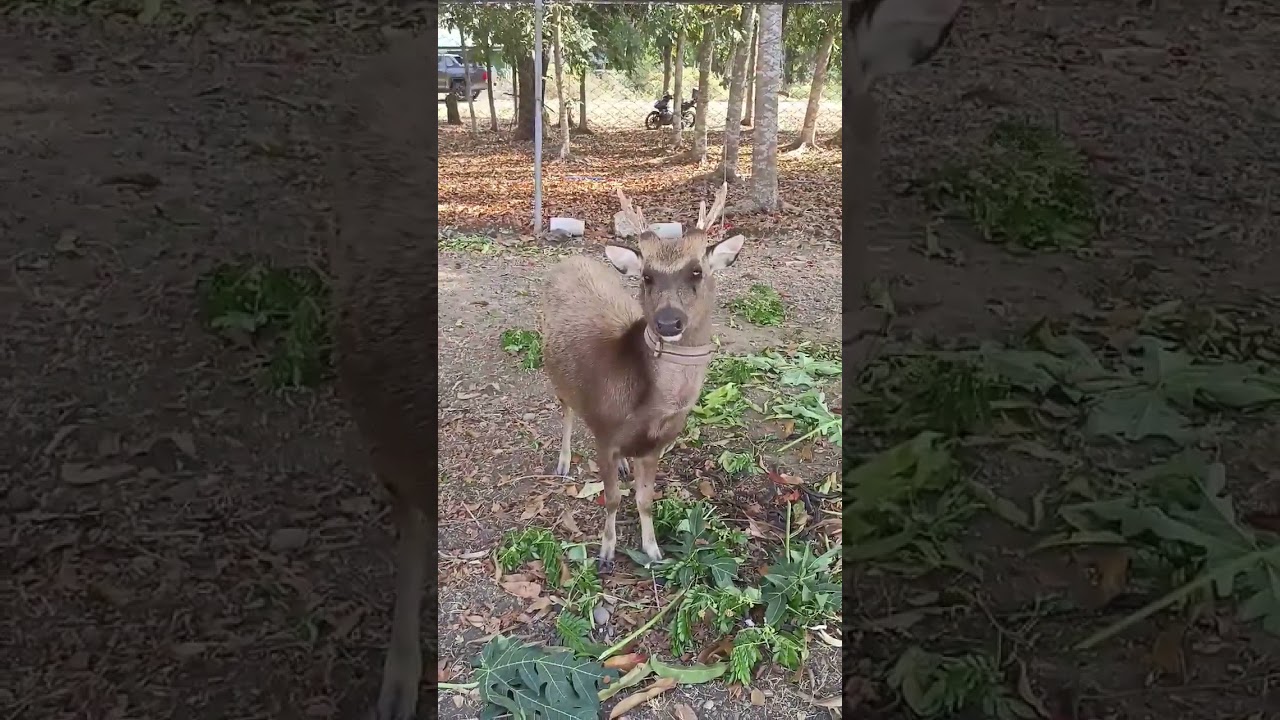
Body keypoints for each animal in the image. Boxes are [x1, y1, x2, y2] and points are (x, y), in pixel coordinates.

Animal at [539, 183, 743, 568]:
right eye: (647, 276)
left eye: (697, 271)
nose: (668, 322)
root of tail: (570, 260)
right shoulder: (605, 435)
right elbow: (613, 499)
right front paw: (606, 552)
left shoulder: (655, 447)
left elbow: (645, 500)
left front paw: (652, 550)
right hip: (556, 374)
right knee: (567, 410)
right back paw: (563, 462)